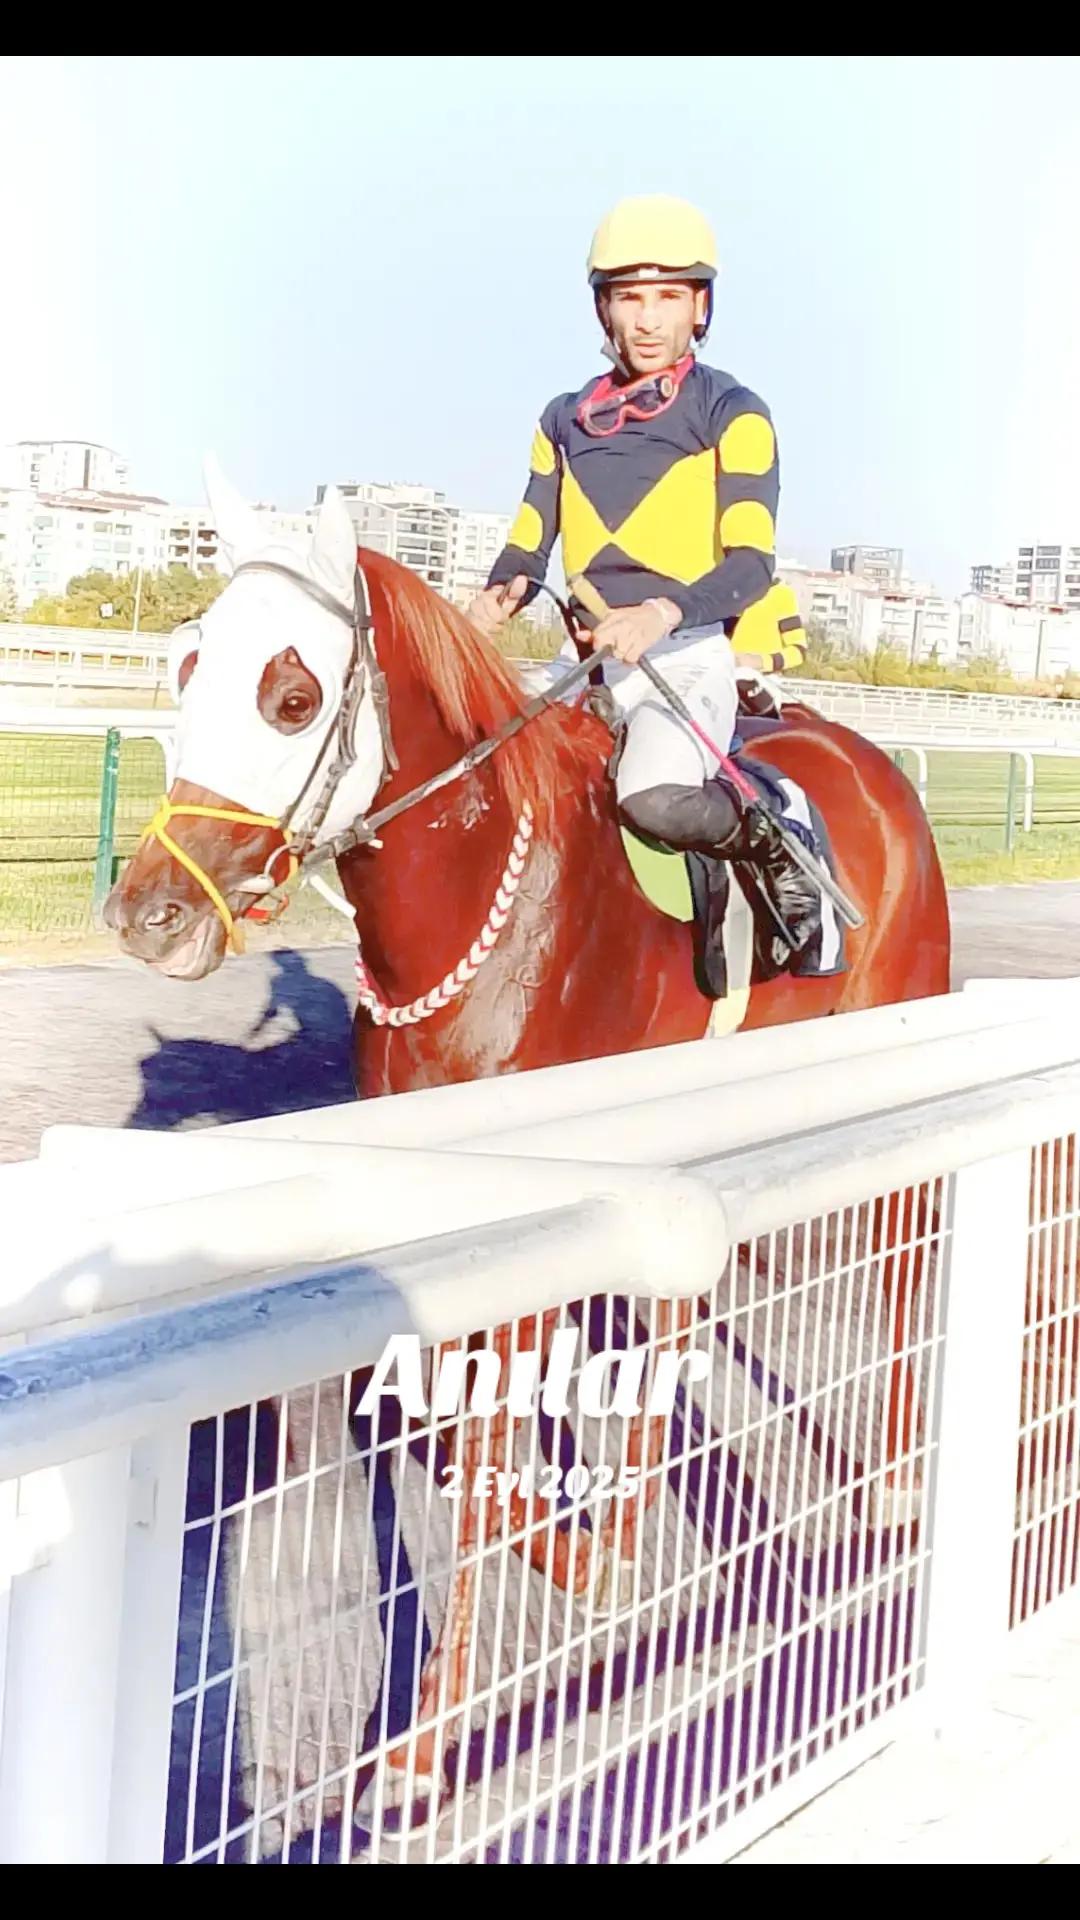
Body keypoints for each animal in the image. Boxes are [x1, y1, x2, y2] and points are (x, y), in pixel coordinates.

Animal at [106, 466, 951, 1820]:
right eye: (183, 668)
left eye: (291, 696)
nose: (149, 913)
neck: (482, 913)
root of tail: (866, 761)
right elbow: (459, 1451)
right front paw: (586, 1559)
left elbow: (490, 1465)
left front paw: (424, 1745)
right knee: (681, 1312)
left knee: (910, 1255)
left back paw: (900, 1474)